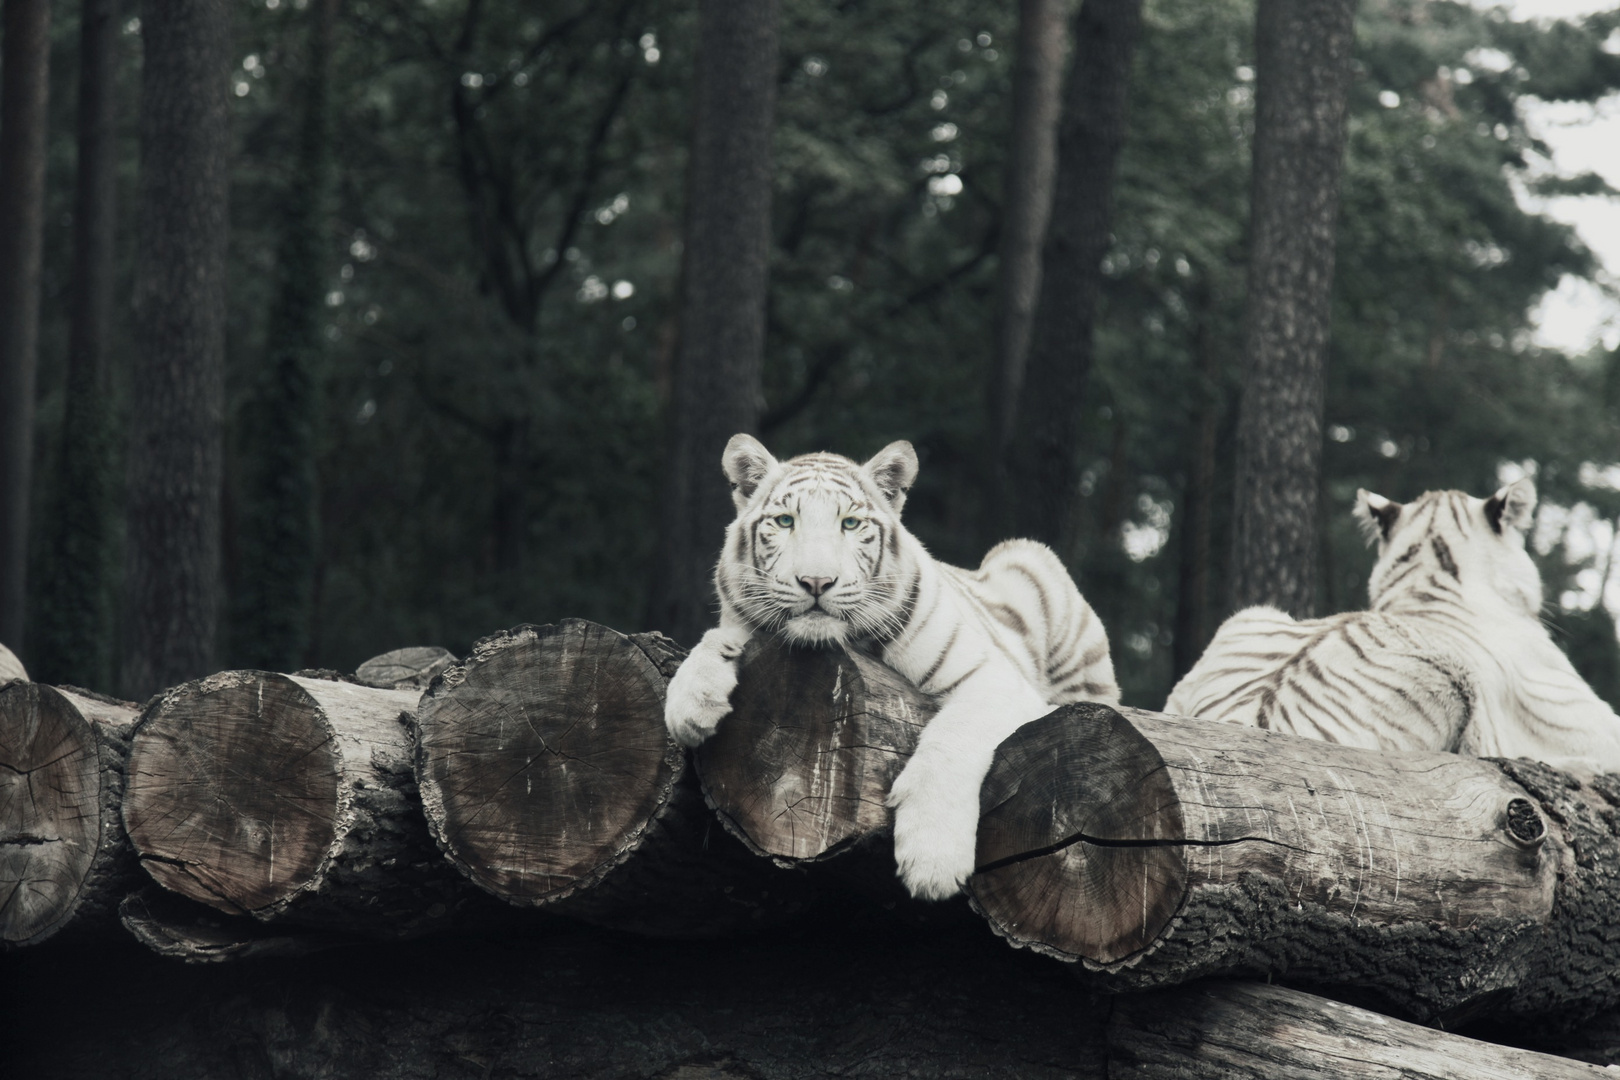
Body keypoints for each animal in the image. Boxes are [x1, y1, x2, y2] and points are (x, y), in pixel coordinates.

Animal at [664, 433, 1121, 900]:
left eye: (850, 523)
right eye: (785, 521)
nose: (816, 582)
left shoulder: (993, 678)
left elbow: (949, 741)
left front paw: (932, 862)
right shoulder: (740, 623)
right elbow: (715, 640)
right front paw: (689, 704)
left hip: (1035, 572)